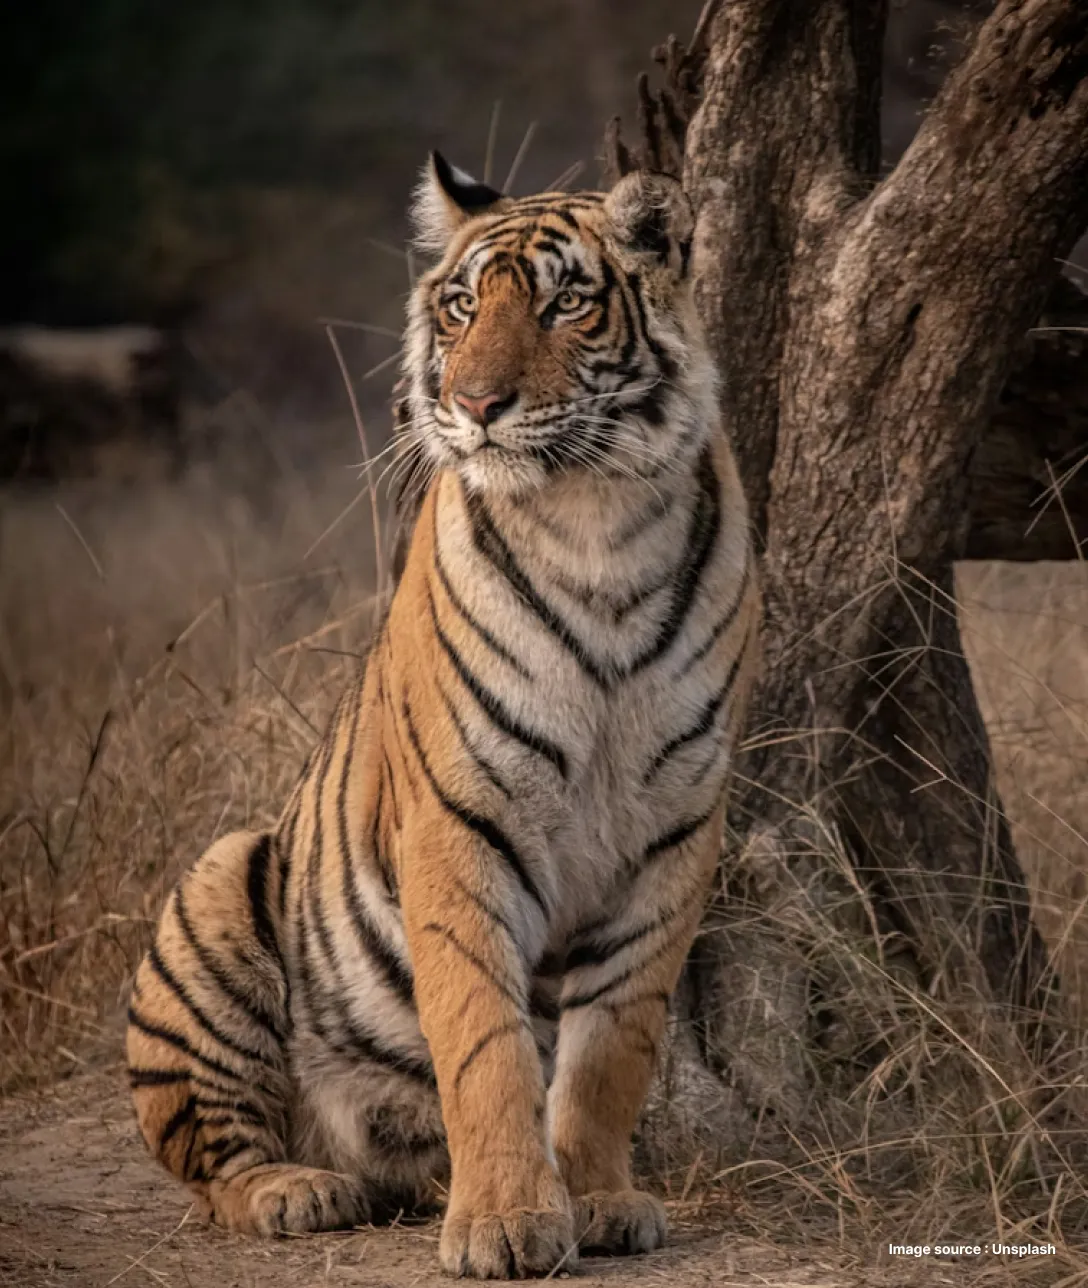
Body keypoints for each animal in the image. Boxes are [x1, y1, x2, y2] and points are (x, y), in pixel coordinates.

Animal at [126, 151, 759, 1279]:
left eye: (563, 304)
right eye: (462, 307)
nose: (476, 402)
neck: (597, 523)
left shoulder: (675, 829)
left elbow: (612, 1045)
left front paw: (598, 1198)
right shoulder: (463, 817)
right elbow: (483, 1040)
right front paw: (507, 1221)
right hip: (217, 890)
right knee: (212, 1162)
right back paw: (298, 1189)